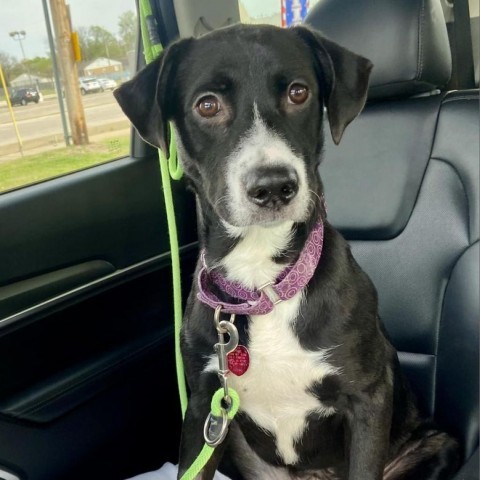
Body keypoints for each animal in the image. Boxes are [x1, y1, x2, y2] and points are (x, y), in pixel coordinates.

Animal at [114, 24, 460, 480]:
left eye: (299, 92)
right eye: (207, 104)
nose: (274, 186)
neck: (261, 282)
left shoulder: (368, 399)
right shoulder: (205, 410)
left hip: (436, 445)